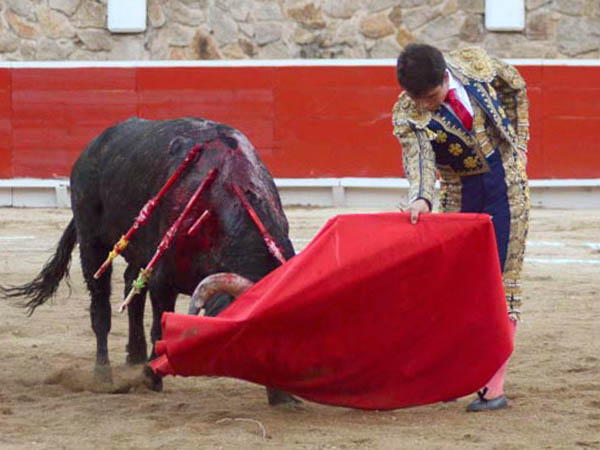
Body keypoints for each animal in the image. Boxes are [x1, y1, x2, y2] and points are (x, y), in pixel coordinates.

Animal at [2, 118, 298, 406]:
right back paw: (104, 376)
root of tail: (90, 149)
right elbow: (159, 328)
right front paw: (153, 377)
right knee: (101, 309)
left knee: (131, 288)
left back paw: (135, 357)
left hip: (140, 252)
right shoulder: (163, 282)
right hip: (92, 243)